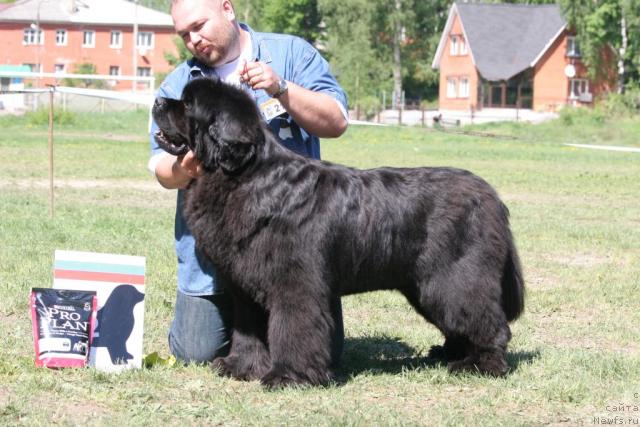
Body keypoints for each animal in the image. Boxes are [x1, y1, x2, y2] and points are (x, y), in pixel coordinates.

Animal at [155, 78, 524, 390]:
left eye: (188, 104)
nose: (158, 99)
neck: (248, 177)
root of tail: (490, 194)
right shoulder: (246, 286)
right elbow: (248, 331)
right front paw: (240, 367)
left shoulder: (295, 282)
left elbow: (294, 328)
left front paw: (289, 376)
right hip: (424, 285)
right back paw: (450, 353)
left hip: (454, 278)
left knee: (487, 321)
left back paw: (480, 364)